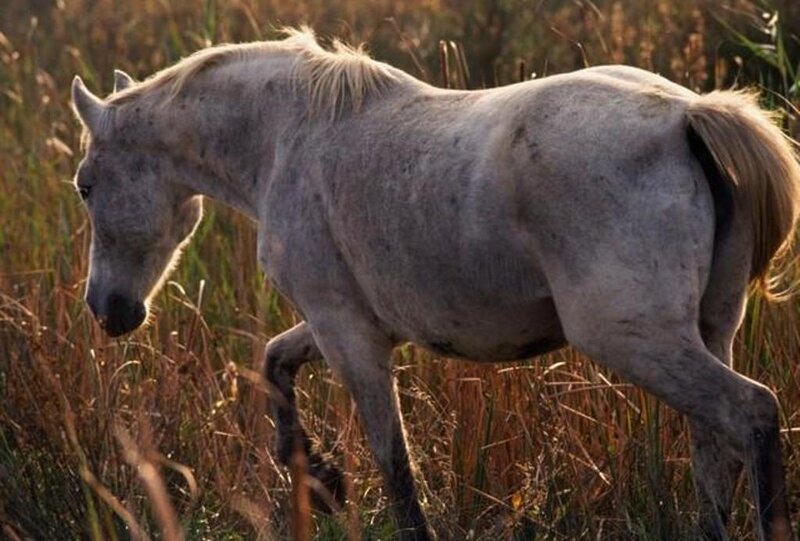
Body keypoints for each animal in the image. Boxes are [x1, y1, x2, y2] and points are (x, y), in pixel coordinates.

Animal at [70, 28, 800, 541]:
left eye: (84, 185)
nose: (106, 310)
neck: (289, 137)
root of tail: (687, 116)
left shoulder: (349, 333)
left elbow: (395, 465)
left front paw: (327, 476)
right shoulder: (343, 324)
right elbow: (275, 362)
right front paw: (318, 473)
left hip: (638, 340)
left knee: (752, 414)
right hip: (706, 331)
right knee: (716, 452)